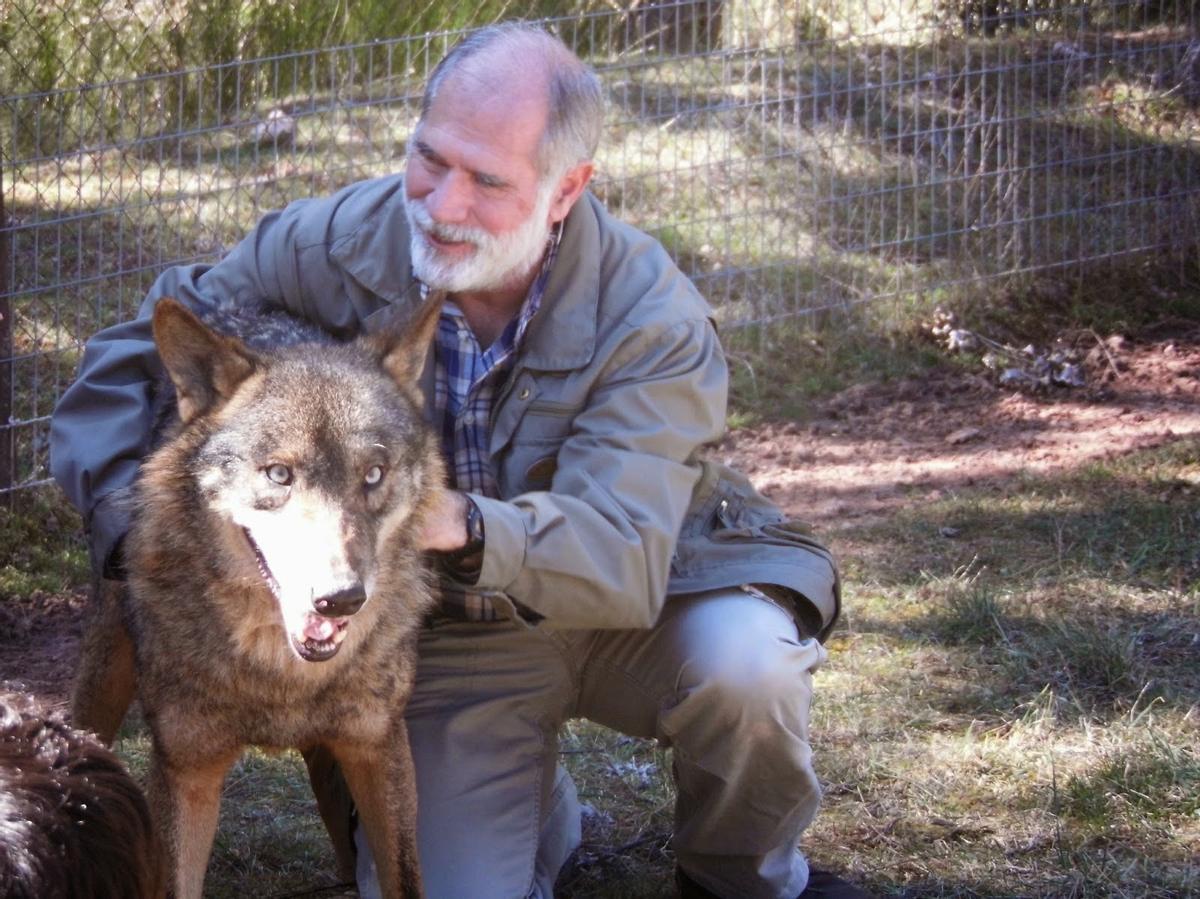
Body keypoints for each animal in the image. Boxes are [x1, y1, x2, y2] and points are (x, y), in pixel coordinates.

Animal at [71, 291, 446, 892]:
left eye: (373, 474)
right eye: (278, 475)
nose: (341, 598)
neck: (279, 678)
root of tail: (238, 306)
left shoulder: (377, 743)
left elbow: (405, 879)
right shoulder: (186, 770)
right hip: (105, 674)